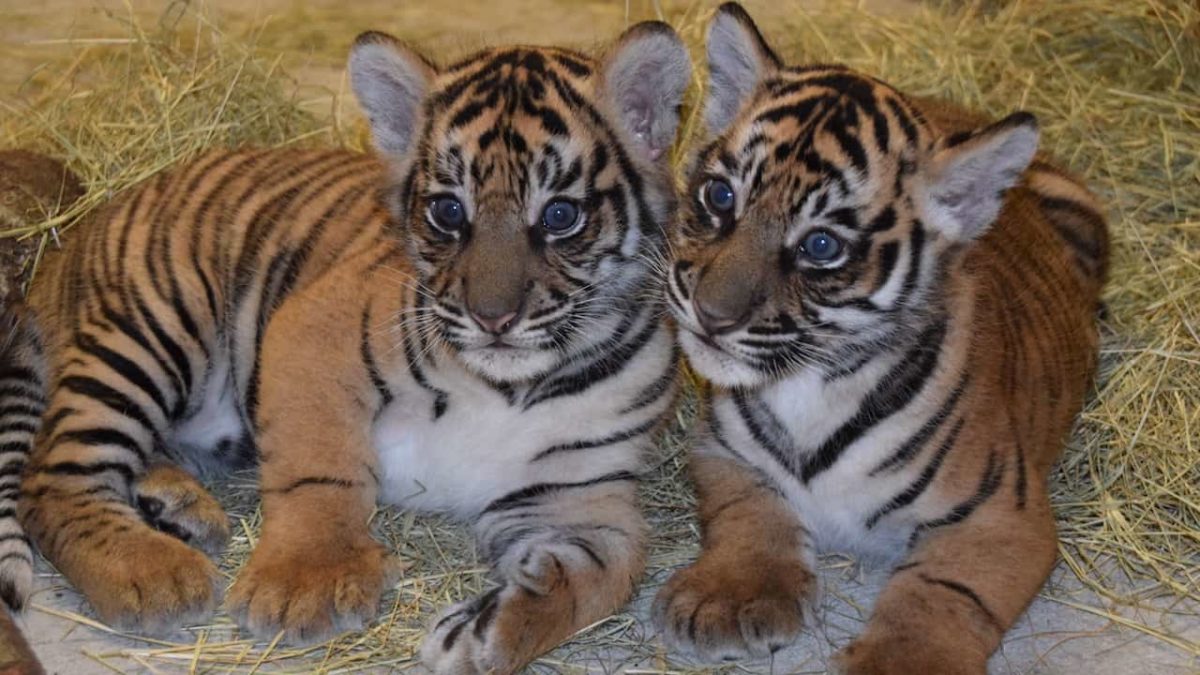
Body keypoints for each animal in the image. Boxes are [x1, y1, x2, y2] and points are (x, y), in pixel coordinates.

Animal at [1, 21, 691, 674]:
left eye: (560, 216)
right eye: (448, 212)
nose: (492, 318)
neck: (510, 385)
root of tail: (72, 233)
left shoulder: (580, 497)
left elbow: (597, 580)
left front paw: (483, 634)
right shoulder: (312, 329)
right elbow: (319, 466)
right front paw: (307, 582)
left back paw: (176, 505)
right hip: (156, 326)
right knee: (50, 478)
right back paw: (154, 573)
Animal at [652, 4, 1108, 673]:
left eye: (820, 246)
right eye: (720, 196)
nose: (710, 315)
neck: (812, 388)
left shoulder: (1002, 514)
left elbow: (942, 590)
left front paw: (900, 659)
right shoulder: (723, 455)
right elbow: (747, 517)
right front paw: (731, 596)